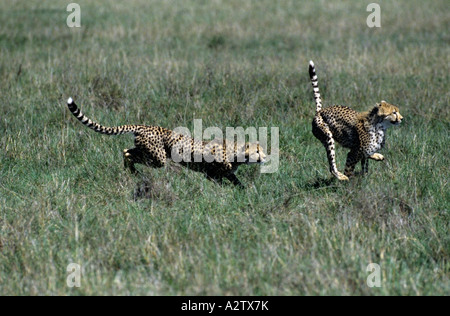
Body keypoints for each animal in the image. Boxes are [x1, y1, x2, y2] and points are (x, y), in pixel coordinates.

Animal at [65, 98, 266, 188]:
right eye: (257, 152)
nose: (265, 157)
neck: (236, 152)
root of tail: (145, 125)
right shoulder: (212, 175)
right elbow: (221, 183)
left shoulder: (227, 174)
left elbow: (238, 183)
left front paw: (245, 192)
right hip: (158, 158)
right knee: (129, 153)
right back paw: (134, 172)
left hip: (146, 151)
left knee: (126, 150)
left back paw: (132, 172)